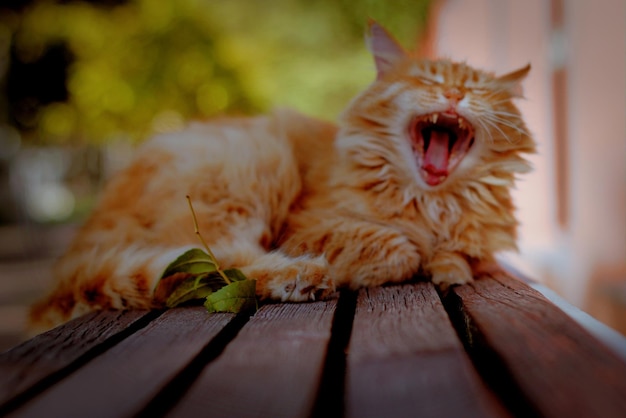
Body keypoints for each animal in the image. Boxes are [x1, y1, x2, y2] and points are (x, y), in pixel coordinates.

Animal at [29, 21, 532, 332]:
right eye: (427, 80)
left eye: (479, 90)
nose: (454, 93)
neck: (433, 203)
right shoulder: (307, 225)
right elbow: (400, 248)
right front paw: (416, 258)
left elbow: (461, 259)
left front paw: (448, 263)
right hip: (253, 163)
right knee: (219, 266)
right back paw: (303, 276)